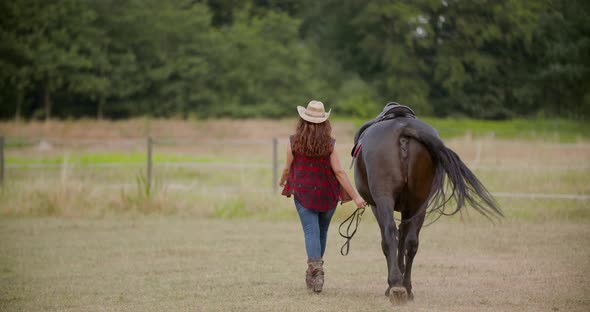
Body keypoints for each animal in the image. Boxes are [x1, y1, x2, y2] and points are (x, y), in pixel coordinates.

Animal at [354, 103, 506, 302]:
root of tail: (403, 129)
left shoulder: (376, 205)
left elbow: (392, 239)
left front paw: (392, 282)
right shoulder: (408, 208)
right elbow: (403, 238)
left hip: (385, 198)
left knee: (390, 232)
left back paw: (395, 285)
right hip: (420, 202)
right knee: (411, 241)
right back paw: (407, 287)